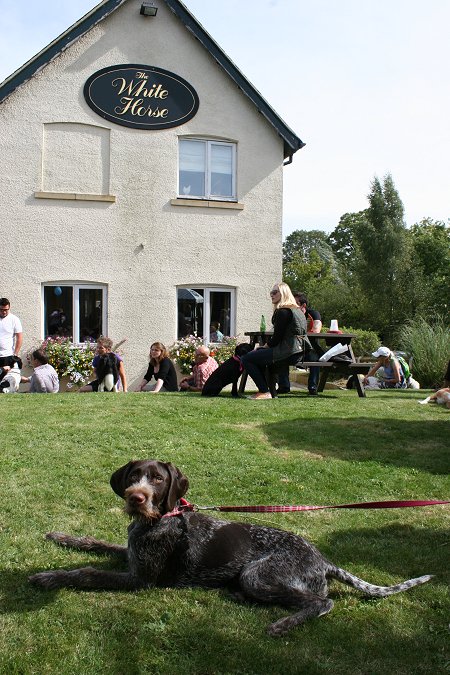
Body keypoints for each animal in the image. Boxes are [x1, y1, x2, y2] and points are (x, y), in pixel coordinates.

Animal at [30, 456, 432, 636]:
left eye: (158, 479)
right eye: (133, 476)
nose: (136, 498)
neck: (160, 519)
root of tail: (323, 560)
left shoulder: (140, 580)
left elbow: (86, 573)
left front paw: (50, 577)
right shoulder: (130, 556)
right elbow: (97, 544)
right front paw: (63, 538)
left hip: (258, 573)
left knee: (322, 602)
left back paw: (283, 623)